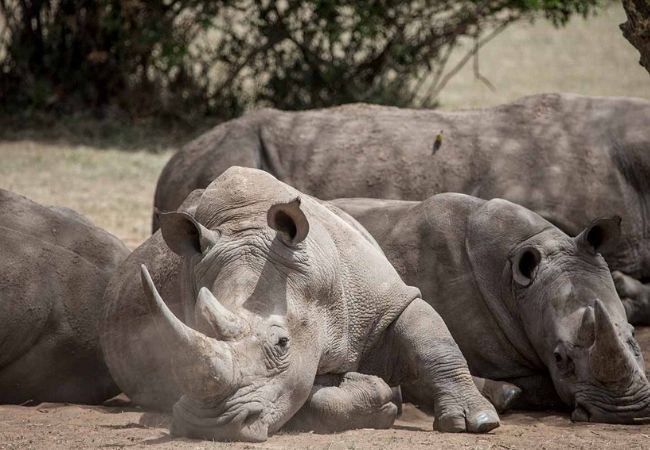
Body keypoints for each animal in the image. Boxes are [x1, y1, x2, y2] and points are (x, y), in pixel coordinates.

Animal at [101, 167, 501, 441]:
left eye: (282, 343)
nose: (210, 426)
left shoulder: (387, 299)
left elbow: (432, 339)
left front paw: (477, 422)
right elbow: (314, 396)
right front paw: (377, 394)